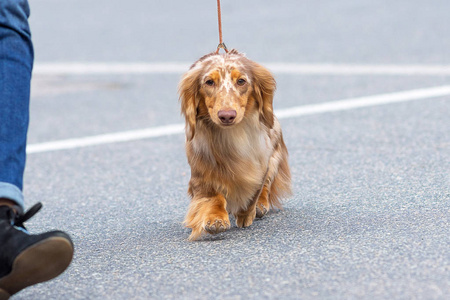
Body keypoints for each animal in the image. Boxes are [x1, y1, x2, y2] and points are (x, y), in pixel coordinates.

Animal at [178, 49, 290, 241]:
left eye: (241, 81)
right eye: (209, 82)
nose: (227, 116)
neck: (232, 136)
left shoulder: (261, 160)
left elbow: (255, 189)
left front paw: (246, 213)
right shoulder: (202, 167)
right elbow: (213, 195)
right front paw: (215, 219)